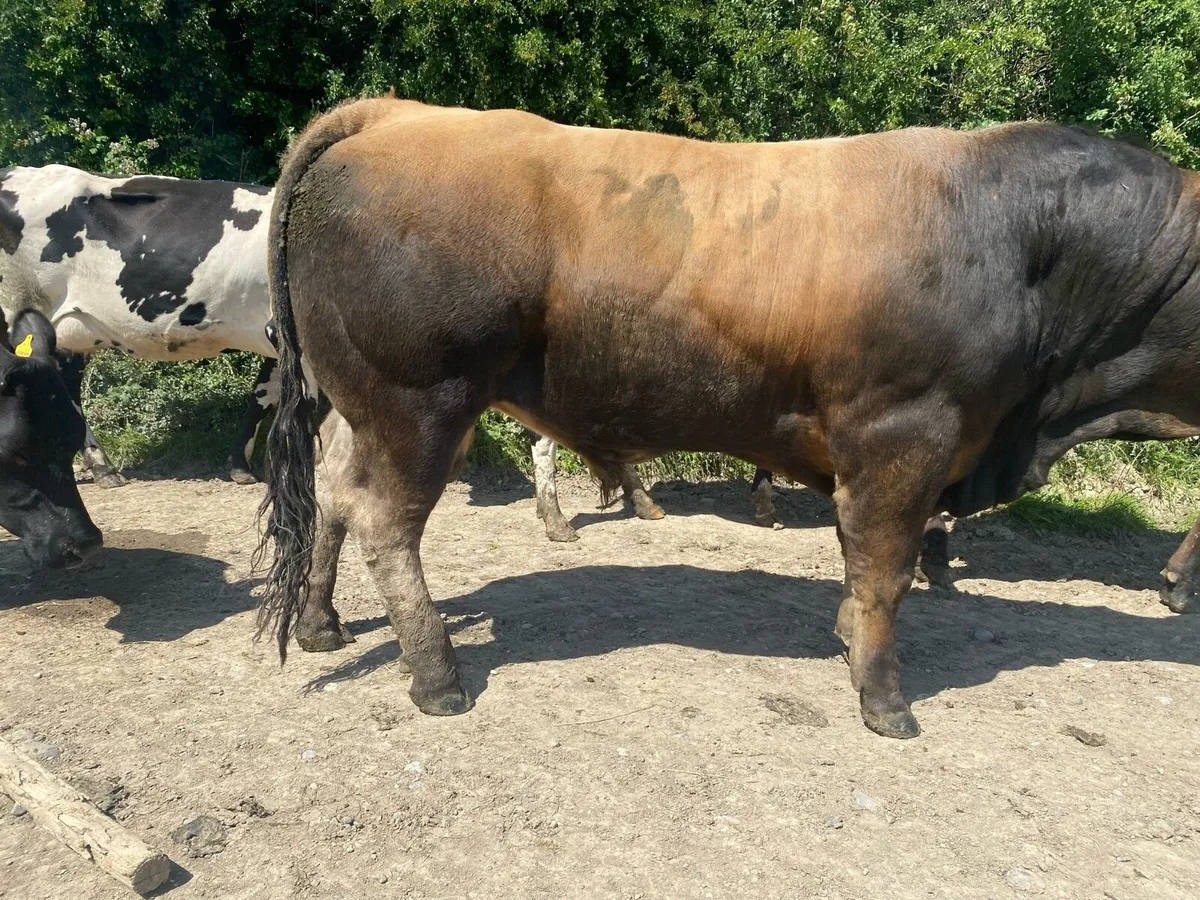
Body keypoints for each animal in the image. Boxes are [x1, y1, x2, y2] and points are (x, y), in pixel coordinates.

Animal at [255, 96, 1200, 740]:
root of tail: (397, 114)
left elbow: (858, 566)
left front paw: (847, 644)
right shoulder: (906, 437)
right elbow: (884, 571)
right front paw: (886, 700)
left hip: (363, 406)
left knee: (334, 491)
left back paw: (320, 624)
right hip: (420, 402)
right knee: (384, 522)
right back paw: (437, 676)